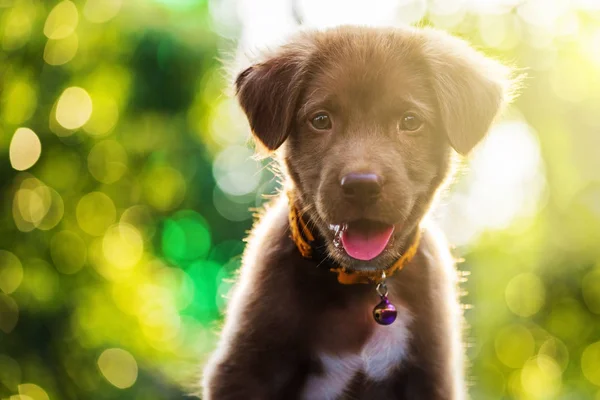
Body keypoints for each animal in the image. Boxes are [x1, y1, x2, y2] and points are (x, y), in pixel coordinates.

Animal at [200, 25, 516, 400]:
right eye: (321, 120)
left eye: (410, 121)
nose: (362, 186)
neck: (362, 286)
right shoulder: (246, 369)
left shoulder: (432, 376)